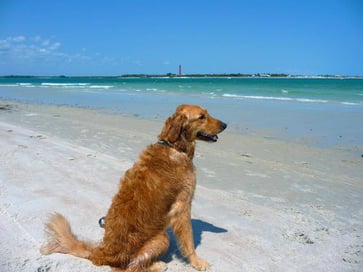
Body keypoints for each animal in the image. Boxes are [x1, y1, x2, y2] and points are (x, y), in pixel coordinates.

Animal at [39, 103, 228, 270]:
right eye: (202, 117)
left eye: (207, 113)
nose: (225, 125)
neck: (174, 146)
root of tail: (100, 253)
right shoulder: (182, 205)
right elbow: (189, 242)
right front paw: (197, 262)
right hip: (162, 238)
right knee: (128, 268)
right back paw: (156, 265)